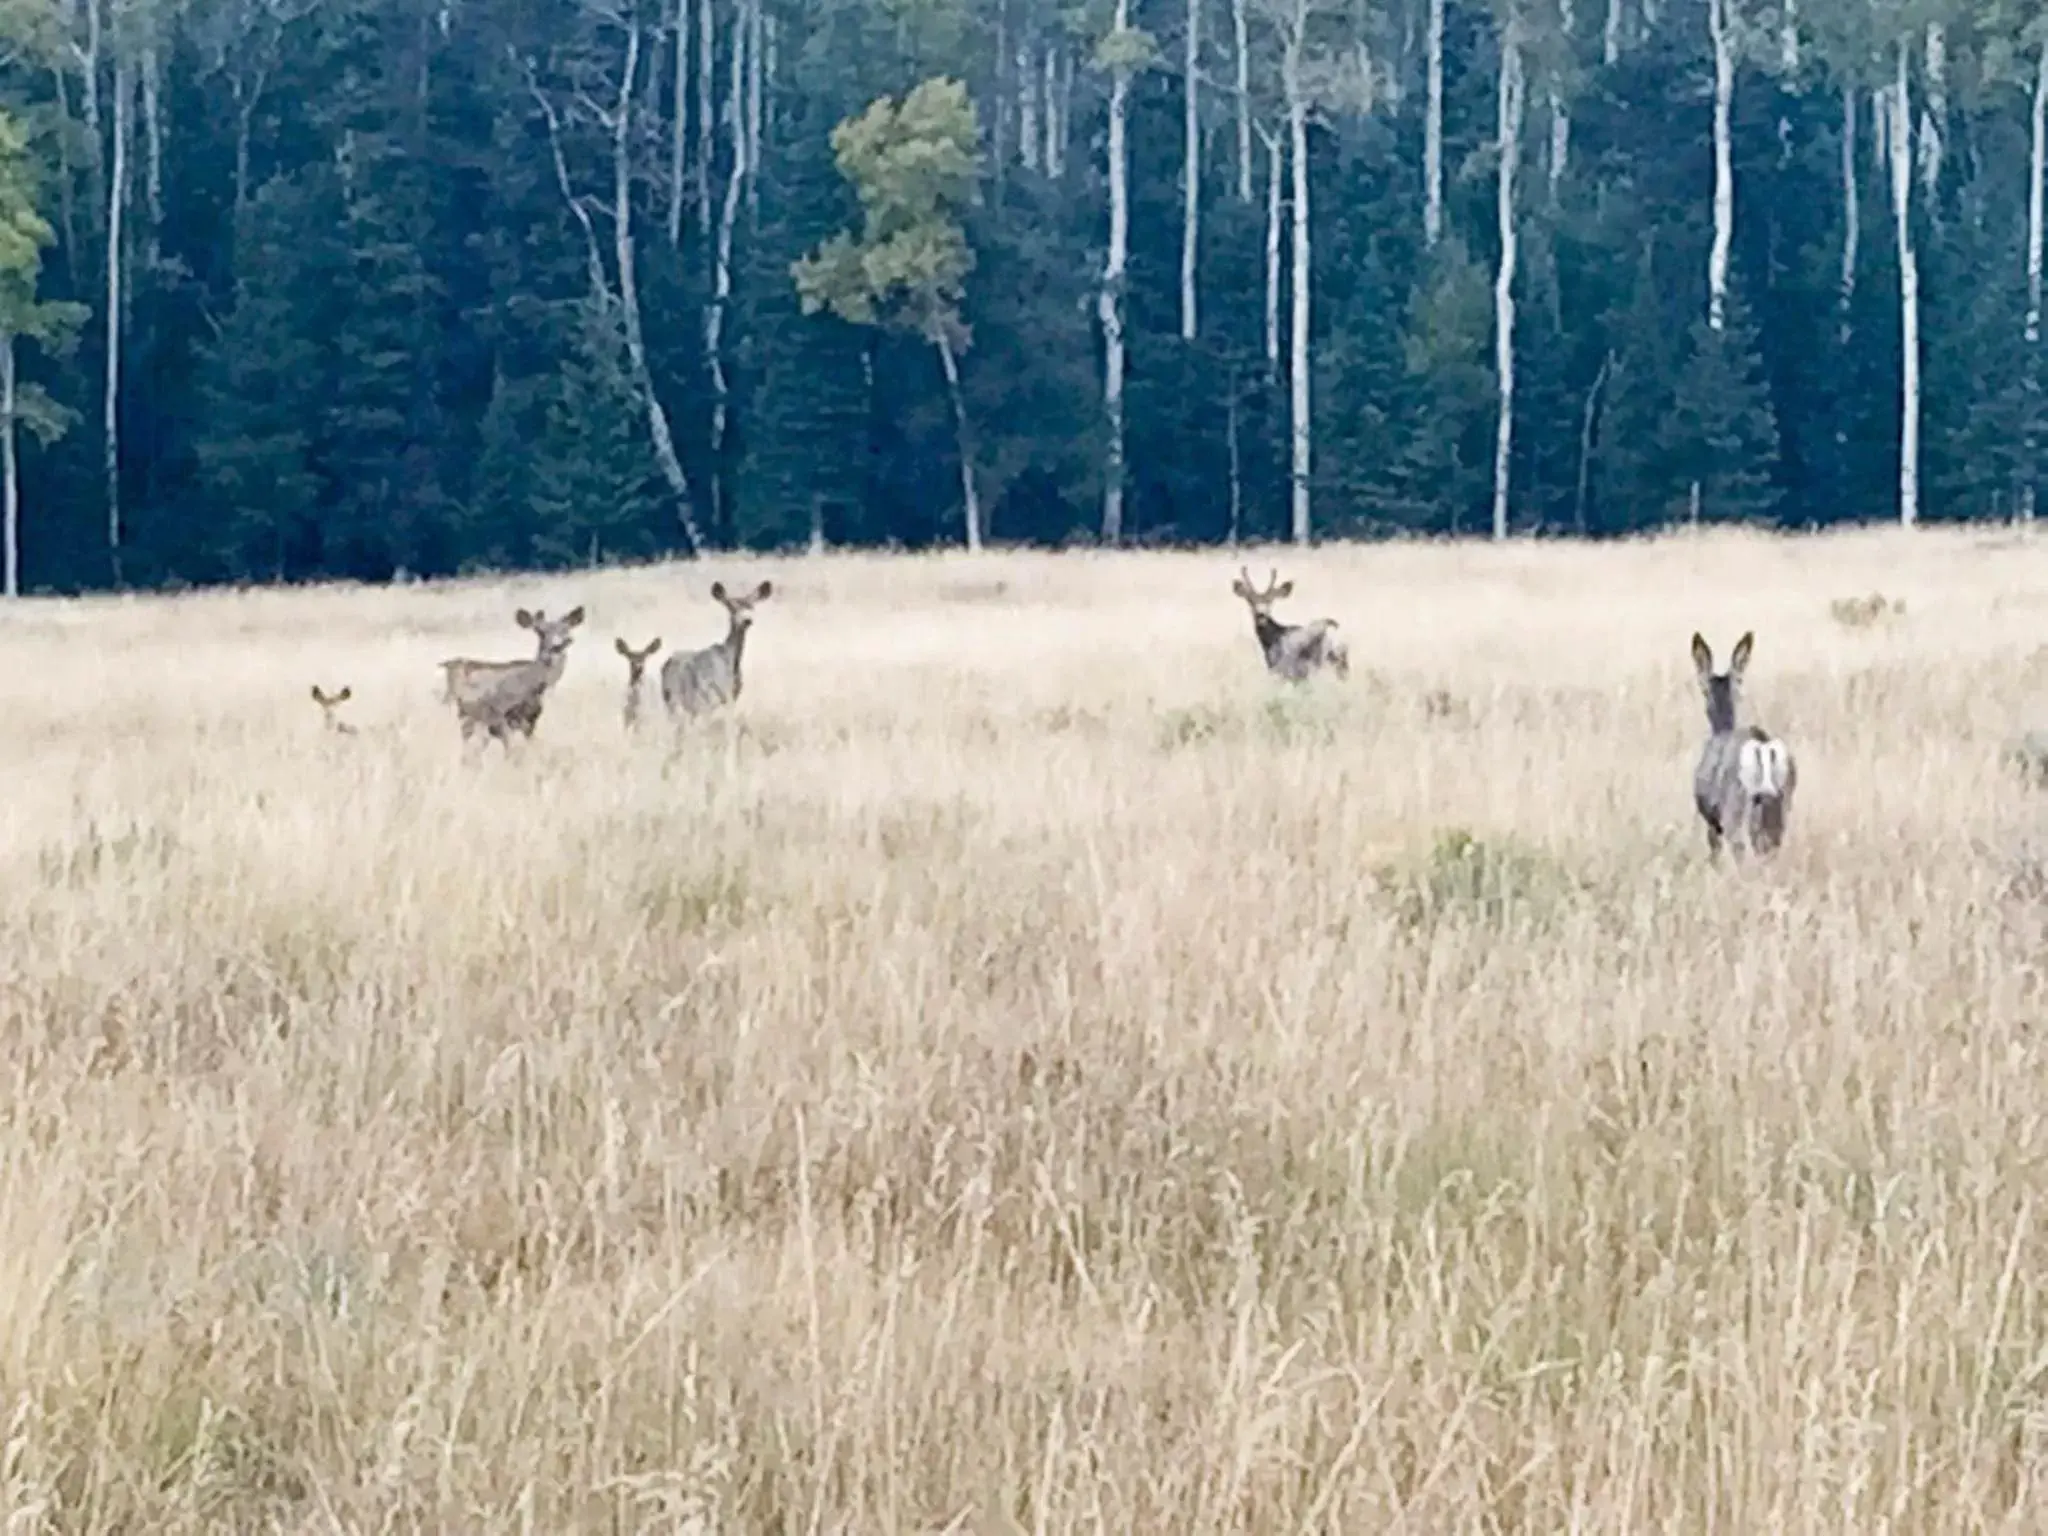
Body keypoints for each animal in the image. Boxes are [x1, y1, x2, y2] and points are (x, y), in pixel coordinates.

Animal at [438, 606, 585, 745]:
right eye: (540, 632)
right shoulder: (506, 717)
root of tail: (446, 664)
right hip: (457, 704)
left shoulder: (528, 721)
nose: (557, 646)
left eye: (565, 629)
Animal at [663, 581, 774, 724]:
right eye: (732, 607)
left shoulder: (732, 695)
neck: (731, 661)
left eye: (751, 606)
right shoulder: (719, 694)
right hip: (683, 698)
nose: (747, 620)